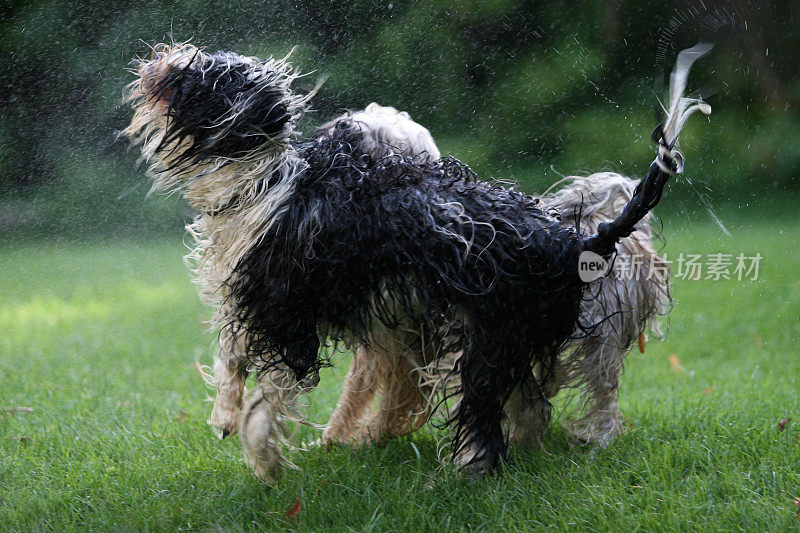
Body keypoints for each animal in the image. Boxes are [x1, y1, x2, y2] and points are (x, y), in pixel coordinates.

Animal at [125, 39, 712, 476]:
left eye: (201, 73)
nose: (164, 51)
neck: (265, 180)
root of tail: (577, 240)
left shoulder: (288, 313)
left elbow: (270, 394)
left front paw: (262, 454)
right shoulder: (252, 294)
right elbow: (232, 356)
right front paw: (226, 415)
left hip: (486, 344)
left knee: (489, 416)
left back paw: (467, 470)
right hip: (516, 339)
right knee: (531, 407)